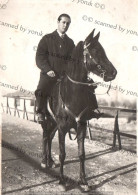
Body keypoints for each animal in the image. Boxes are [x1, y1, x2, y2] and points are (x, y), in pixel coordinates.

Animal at [40, 29, 117, 191]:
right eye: (96, 51)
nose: (113, 72)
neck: (72, 94)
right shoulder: (63, 128)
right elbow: (62, 153)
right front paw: (62, 181)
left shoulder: (80, 126)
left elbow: (82, 154)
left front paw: (83, 181)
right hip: (48, 121)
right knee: (45, 136)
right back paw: (44, 161)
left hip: (55, 124)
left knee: (49, 137)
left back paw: (50, 161)